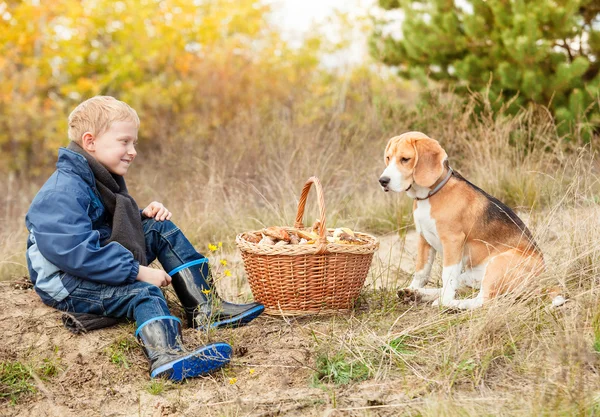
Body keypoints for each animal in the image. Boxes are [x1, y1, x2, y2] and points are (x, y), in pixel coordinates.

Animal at [380, 131, 544, 308]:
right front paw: (412, 288)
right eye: (388, 158)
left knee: (482, 300)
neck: (431, 194)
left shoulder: (452, 240)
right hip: (470, 275)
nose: (382, 181)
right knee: (460, 287)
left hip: (497, 264)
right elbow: (421, 272)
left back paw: (450, 304)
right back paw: (418, 294)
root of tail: (544, 273)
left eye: (405, 159)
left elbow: (447, 275)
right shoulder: (424, 239)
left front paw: (444, 301)